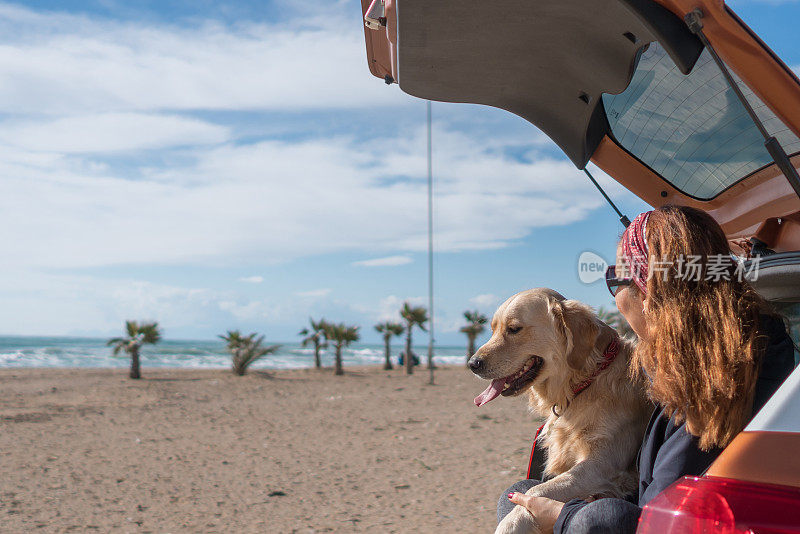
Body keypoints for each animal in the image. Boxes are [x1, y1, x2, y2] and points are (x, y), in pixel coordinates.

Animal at [468, 292, 648, 532]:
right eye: (493, 329)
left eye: (514, 329)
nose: (472, 363)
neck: (585, 383)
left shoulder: (603, 465)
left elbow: (535, 490)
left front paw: (511, 524)